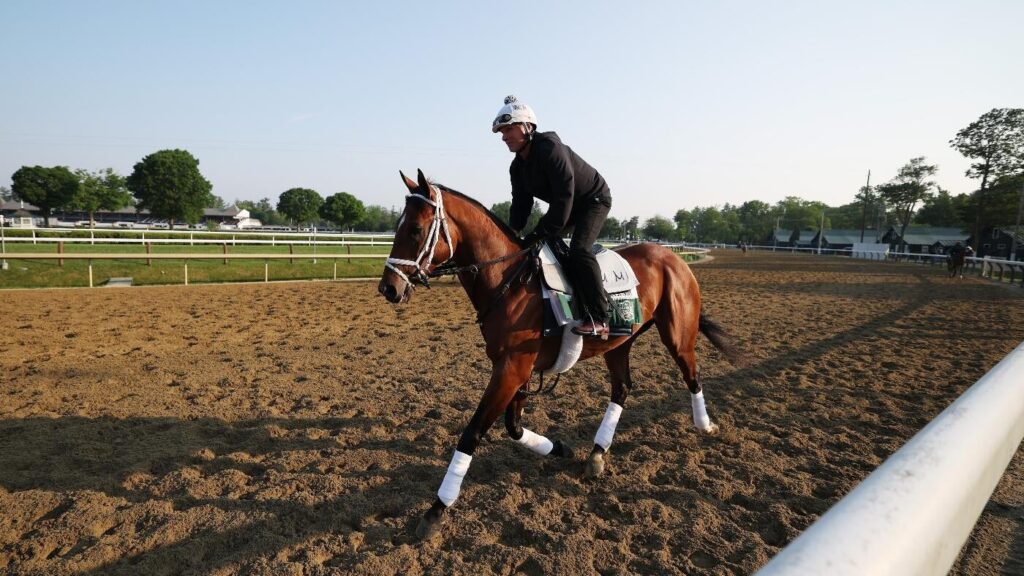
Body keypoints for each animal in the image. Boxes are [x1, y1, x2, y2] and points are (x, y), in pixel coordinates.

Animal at [378, 169, 746, 540]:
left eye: (415, 229)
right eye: (397, 227)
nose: (388, 288)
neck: (509, 282)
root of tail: (675, 259)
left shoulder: (511, 369)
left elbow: (473, 432)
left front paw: (437, 508)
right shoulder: (518, 370)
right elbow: (513, 427)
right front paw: (558, 448)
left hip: (677, 335)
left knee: (691, 375)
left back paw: (705, 425)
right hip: (619, 344)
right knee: (622, 388)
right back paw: (597, 453)